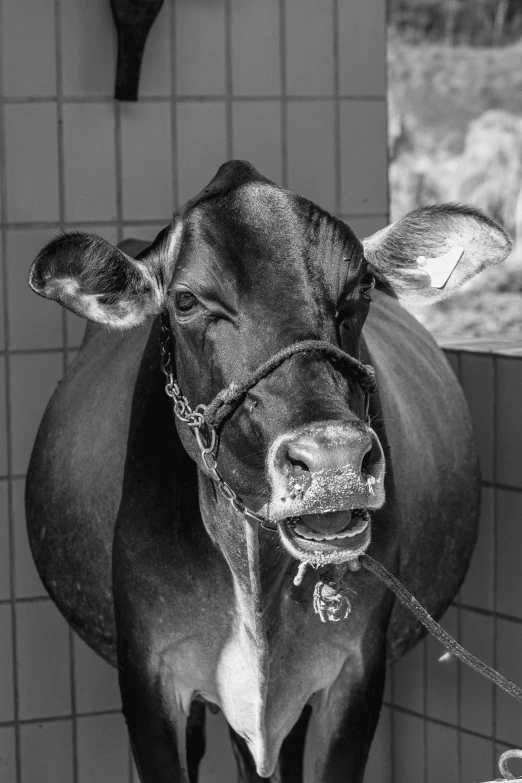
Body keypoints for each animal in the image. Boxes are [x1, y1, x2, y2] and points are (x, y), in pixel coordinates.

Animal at [24, 161, 508, 783]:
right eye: (185, 300)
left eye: (363, 288)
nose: (333, 463)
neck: (252, 567)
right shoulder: (148, 675)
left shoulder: (355, 671)